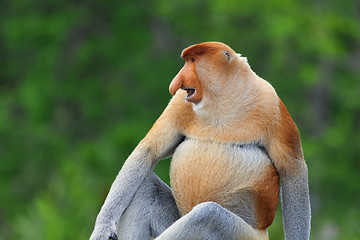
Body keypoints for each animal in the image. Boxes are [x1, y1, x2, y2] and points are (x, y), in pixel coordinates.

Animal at [89, 41, 310, 240]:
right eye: (187, 60)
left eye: (193, 60)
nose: (175, 84)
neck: (222, 99)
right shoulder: (179, 103)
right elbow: (148, 151)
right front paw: (103, 227)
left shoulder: (271, 104)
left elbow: (292, 169)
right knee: (147, 187)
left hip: (244, 235)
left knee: (208, 215)